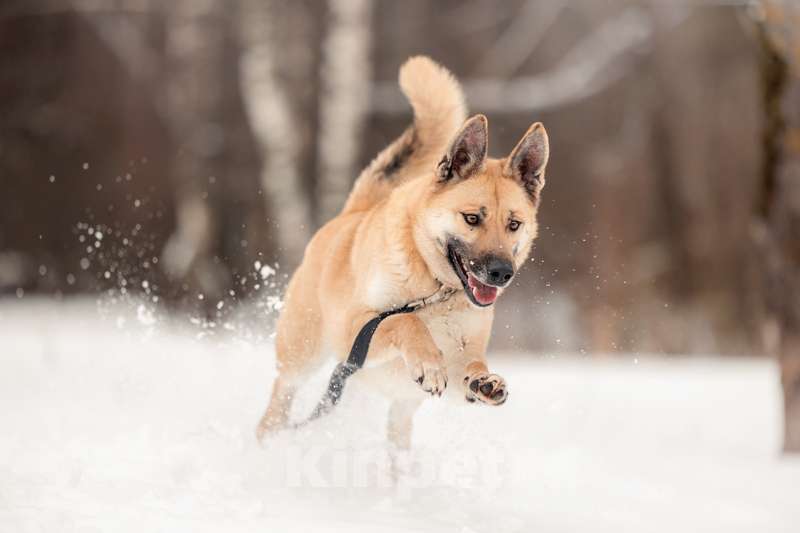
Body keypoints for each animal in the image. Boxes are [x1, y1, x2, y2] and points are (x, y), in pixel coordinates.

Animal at [256, 56, 552, 450]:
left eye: (514, 224)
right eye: (472, 218)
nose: (502, 273)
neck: (435, 289)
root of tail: (353, 212)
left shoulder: (459, 363)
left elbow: (471, 367)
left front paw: (485, 380)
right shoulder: (354, 332)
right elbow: (403, 321)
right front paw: (427, 360)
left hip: (400, 410)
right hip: (301, 358)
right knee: (274, 409)